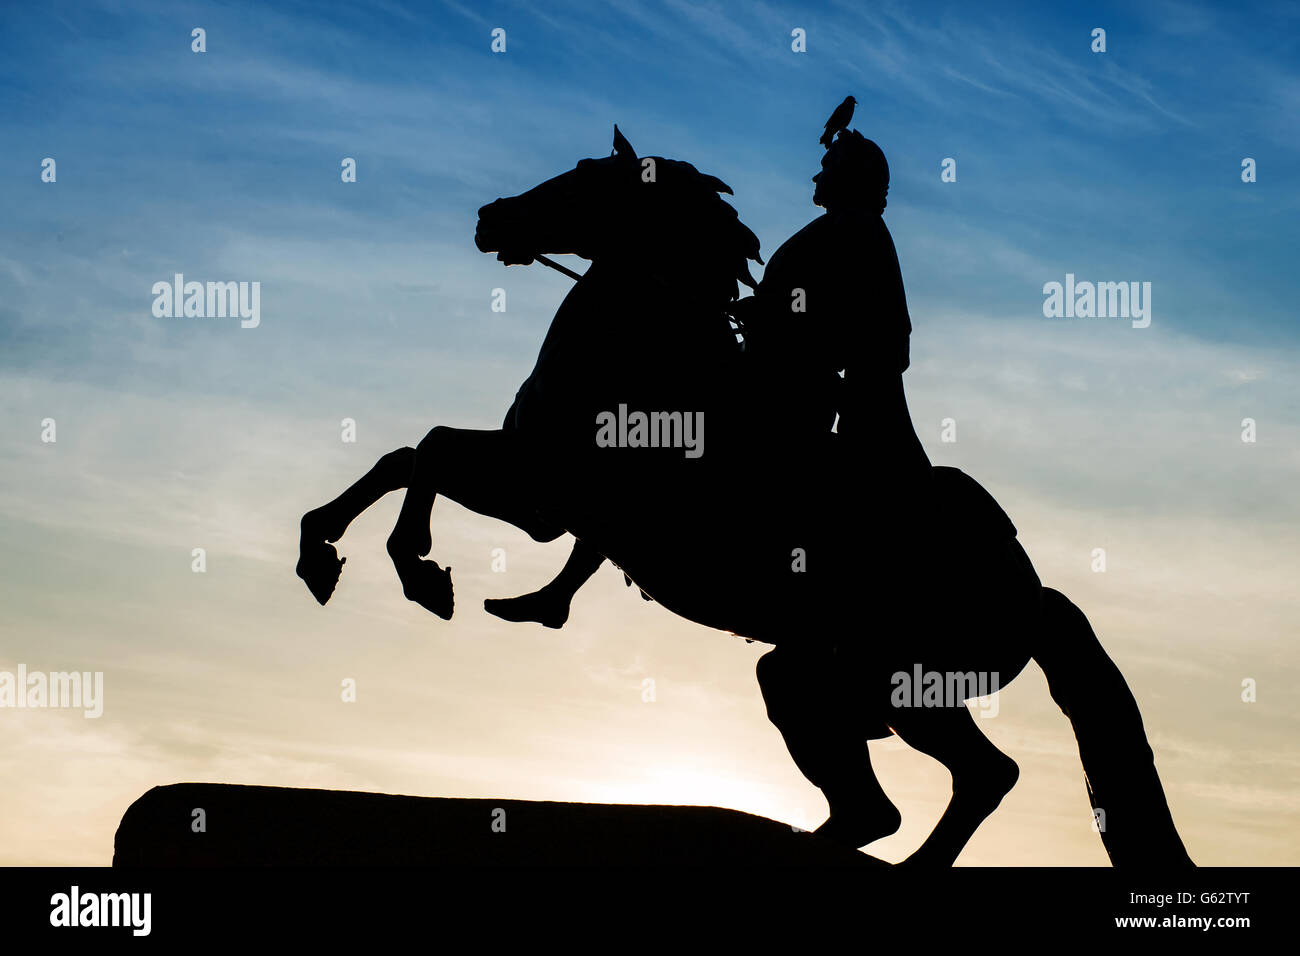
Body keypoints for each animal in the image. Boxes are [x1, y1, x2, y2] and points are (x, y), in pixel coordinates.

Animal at [299, 125, 1190, 868]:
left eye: (586, 179)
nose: (492, 218)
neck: (646, 350)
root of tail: (1035, 593)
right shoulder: (535, 482)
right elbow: (409, 453)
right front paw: (324, 553)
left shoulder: (543, 496)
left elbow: (430, 454)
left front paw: (417, 571)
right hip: (820, 676)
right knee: (885, 797)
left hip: (905, 689)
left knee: (982, 776)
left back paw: (906, 869)